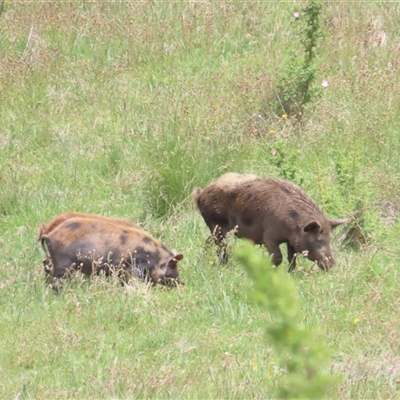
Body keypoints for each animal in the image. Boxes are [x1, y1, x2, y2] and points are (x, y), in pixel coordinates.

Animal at [39, 216, 184, 290]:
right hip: (63, 263)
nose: (182, 283)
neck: (156, 256)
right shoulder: (134, 268)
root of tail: (50, 235)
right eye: (173, 267)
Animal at [193, 173, 346, 272]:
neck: (294, 223)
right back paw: (224, 266)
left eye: (330, 238)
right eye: (318, 239)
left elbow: (292, 258)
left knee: (209, 241)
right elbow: (278, 257)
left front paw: (292, 274)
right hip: (216, 224)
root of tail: (201, 193)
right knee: (221, 246)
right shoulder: (269, 236)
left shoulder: (291, 241)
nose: (333, 268)